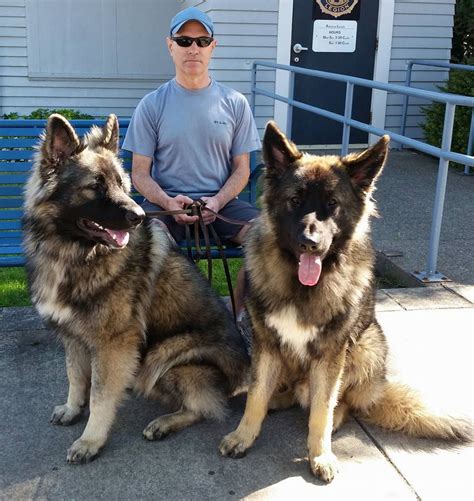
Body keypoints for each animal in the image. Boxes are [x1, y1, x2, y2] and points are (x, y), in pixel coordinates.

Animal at [23, 114, 248, 464]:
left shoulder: (114, 343)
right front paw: (73, 409)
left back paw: (163, 422)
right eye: (95, 186)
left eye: (120, 184)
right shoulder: (73, 336)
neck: (75, 252)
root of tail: (242, 377)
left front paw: (91, 440)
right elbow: (75, 376)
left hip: (162, 354)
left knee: (203, 407)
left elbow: (100, 396)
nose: (139, 216)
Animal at [220, 120, 472, 480]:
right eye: (295, 200)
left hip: (367, 345)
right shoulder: (266, 344)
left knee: (345, 403)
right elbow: (256, 395)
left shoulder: (332, 355)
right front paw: (244, 435)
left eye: (333, 204)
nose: (309, 243)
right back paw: (277, 399)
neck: (303, 286)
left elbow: (322, 410)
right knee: (279, 391)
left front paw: (320, 454)